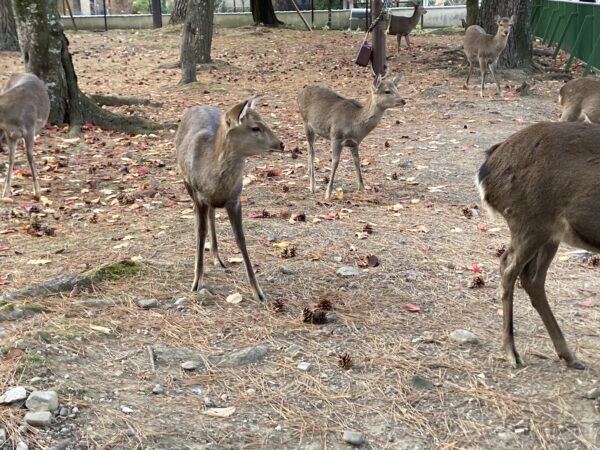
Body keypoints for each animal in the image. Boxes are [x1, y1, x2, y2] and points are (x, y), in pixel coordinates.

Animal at [175, 96, 284, 300]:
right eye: (255, 127)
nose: (281, 144)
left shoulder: (235, 199)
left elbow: (240, 238)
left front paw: (258, 291)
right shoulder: (199, 195)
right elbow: (200, 232)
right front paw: (196, 282)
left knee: (212, 214)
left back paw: (217, 258)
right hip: (187, 183)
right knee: (199, 218)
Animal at [476, 119, 596, 370]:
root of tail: (487, 167)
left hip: (548, 234)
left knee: (530, 277)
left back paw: (568, 355)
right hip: (531, 221)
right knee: (511, 270)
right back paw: (511, 352)